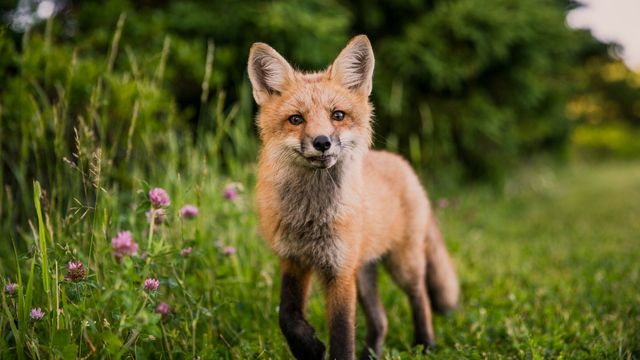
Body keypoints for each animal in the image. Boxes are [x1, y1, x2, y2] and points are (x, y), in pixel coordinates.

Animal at [246, 34, 460, 360]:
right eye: (296, 119)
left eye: (338, 115)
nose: (322, 142)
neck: (311, 217)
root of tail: (402, 163)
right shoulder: (294, 259)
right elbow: (287, 315)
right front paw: (309, 347)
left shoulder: (340, 271)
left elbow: (342, 334)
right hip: (364, 272)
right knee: (381, 319)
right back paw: (373, 352)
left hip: (402, 264)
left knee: (420, 296)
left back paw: (426, 343)